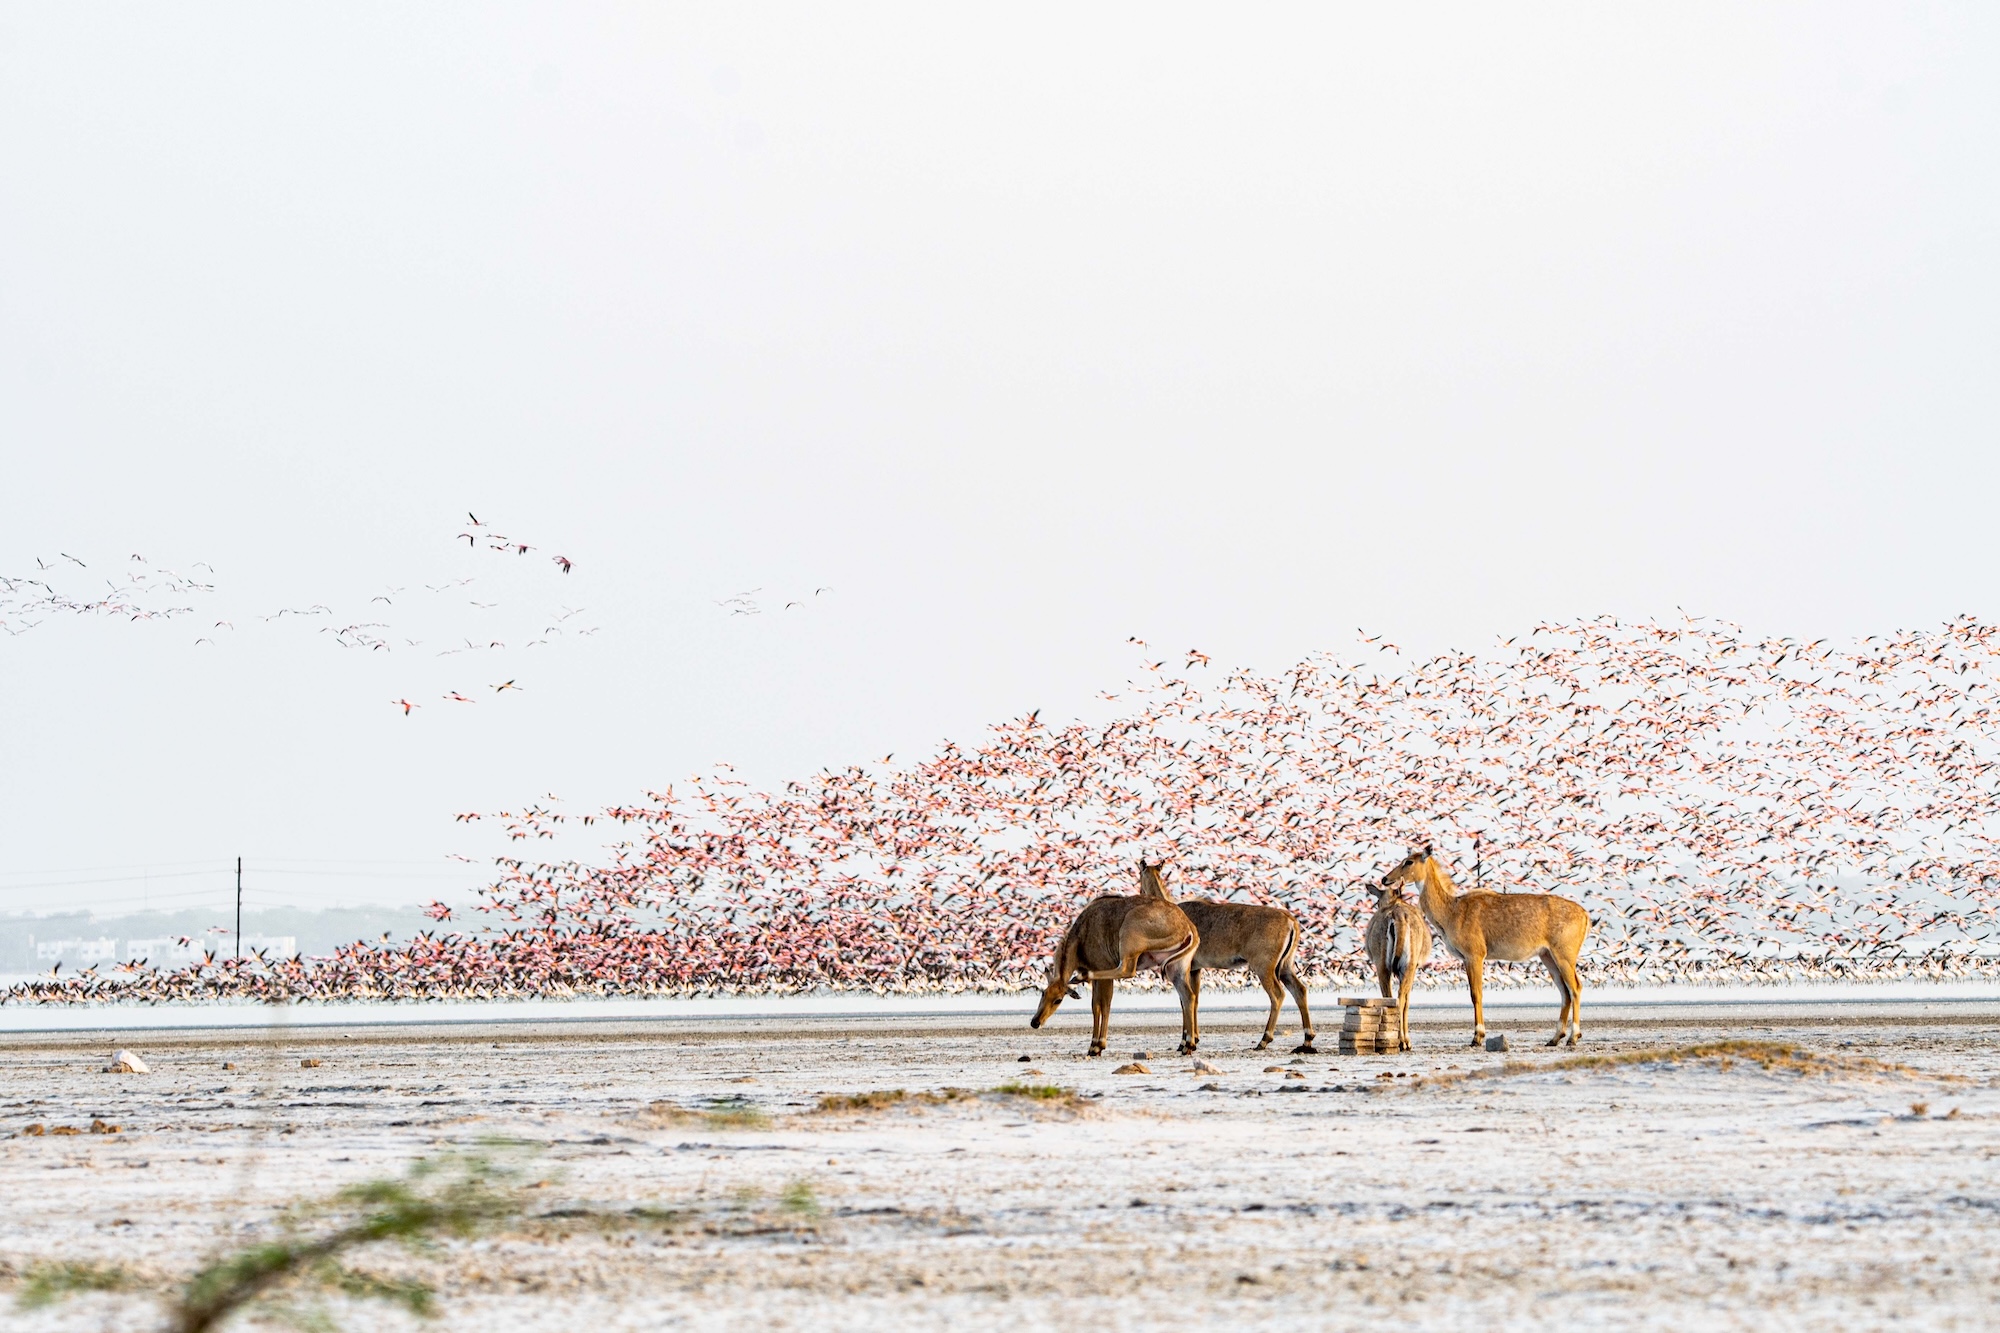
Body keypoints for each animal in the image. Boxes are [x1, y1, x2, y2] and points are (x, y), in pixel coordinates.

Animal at [1029, 860, 1202, 1056]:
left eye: (1058, 1000)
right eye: (1043, 993)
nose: (1035, 1022)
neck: (1081, 933)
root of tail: (1188, 926)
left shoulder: (1103, 973)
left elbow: (1103, 1005)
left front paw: (1097, 1045)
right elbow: (1095, 1006)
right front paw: (1094, 1044)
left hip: (1130, 938)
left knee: (1127, 970)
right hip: (1176, 969)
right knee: (1188, 996)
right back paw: (1188, 1045)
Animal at [1177, 898, 1316, 1052]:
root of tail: (1290, 920)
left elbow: (1185, 1001)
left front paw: (1185, 1043)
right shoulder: (1195, 970)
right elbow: (1193, 1001)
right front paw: (1193, 1040)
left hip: (1264, 968)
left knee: (1278, 994)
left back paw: (1264, 1040)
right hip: (1286, 967)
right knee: (1299, 990)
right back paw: (1307, 1040)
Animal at [1363, 886, 1431, 1052]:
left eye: (1377, 901)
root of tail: (1397, 916)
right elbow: (1407, 1001)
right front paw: (1406, 1040)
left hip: (1383, 965)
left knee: (1391, 997)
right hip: (1406, 966)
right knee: (1399, 997)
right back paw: (1402, 1041)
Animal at [1381, 845, 1589, 1048]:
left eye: (1409, 861)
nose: (1385, 879)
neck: (1452, 910)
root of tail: (1585, 915)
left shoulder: (1475, 955)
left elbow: (1476, 994)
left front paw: (1477, 1037)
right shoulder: (1467, 959)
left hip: (1564, 955)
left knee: (1575, 988)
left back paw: (1573, 1037)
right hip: (1547, 956)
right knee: (1565, 992)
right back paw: (1555, 1038)